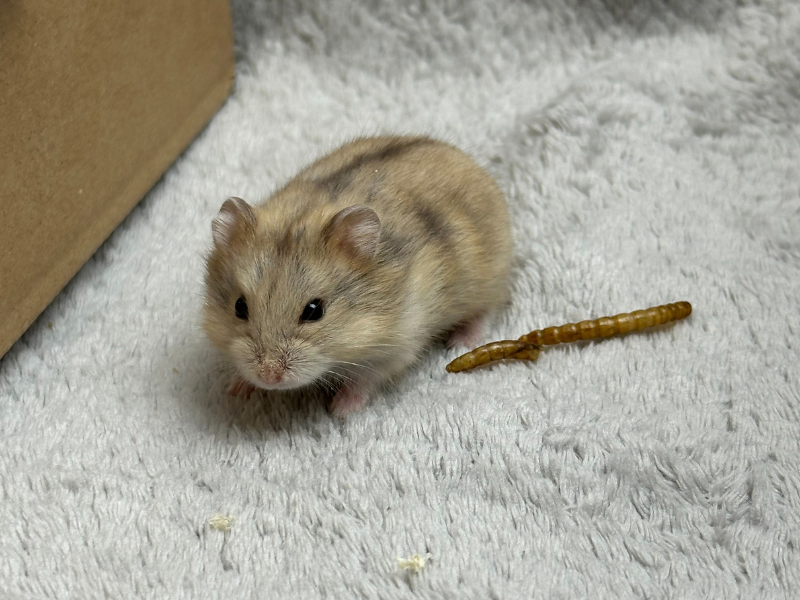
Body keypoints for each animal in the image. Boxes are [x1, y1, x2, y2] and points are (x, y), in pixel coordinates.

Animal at [203, 135, 512, 417]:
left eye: (314, 311)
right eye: (239, 307)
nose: (268, 377)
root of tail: (465, 159)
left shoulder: (396, 348)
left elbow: (362, 380)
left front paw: (339, 410)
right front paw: (236, 391)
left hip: (489, 279)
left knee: (488, 309)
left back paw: (460, 342)